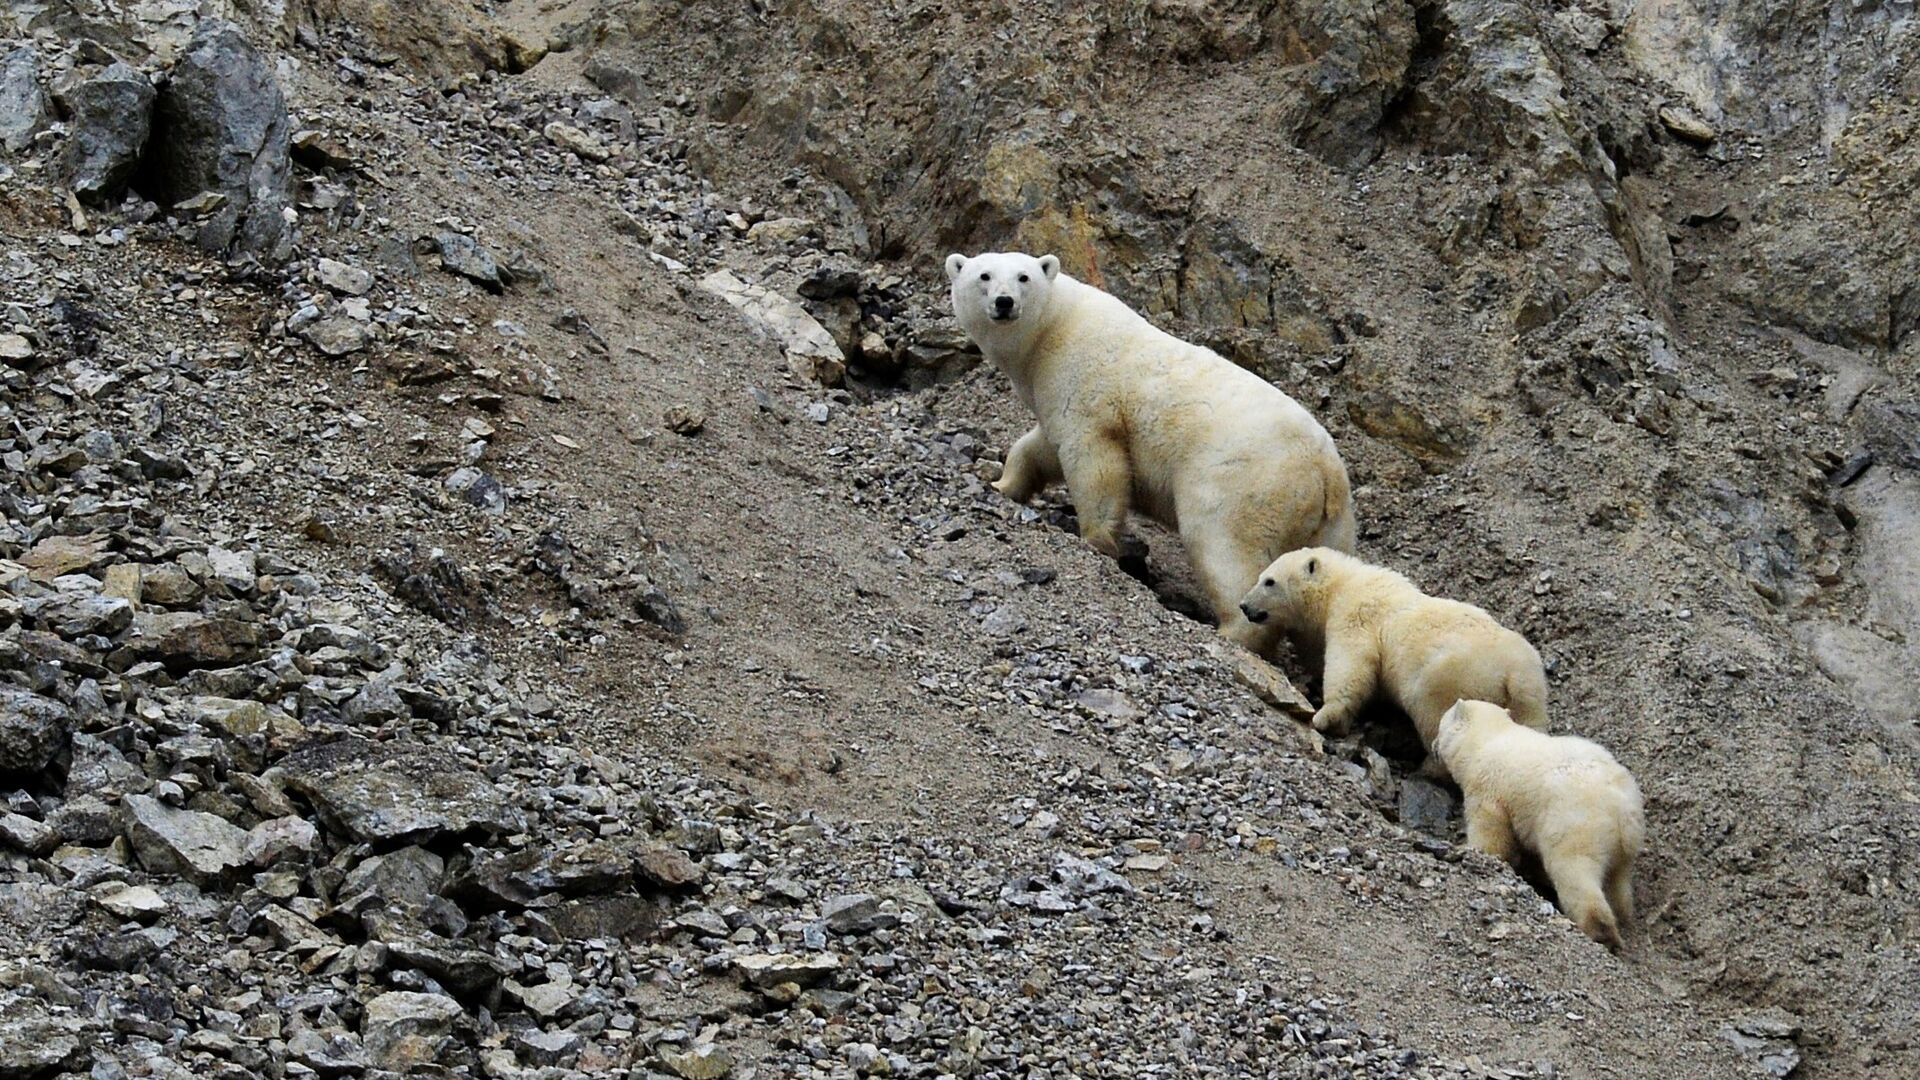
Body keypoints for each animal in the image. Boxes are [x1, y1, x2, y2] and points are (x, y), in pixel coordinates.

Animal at [944, 251, 1351, 645]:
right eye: (984, 275)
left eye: (1024, 276)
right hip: (1331, 524)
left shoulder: (1085, 381)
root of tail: (1324, 469)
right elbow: (1041, 447)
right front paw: (1002, 483)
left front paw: (1097, 539)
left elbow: (1095, 459)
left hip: (1244, 483)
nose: (1004, 302)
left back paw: (1232, 630)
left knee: (1224, 548)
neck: (1053, 329)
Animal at [1236, 541, 1551, 760]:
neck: (1343, 583)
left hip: (1450, 680)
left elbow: (1351, 664)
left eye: (1269, 581)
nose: (1244, 605)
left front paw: (1326, 717)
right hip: (1531, 702)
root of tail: (1514, 674)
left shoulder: (1357, 613)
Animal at [1436, 699, 1643, 941]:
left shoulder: (1488, 787)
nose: (1433, 744)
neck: (1489, 738)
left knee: (1575, 871)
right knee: (1617, 882)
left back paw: (1600, 932)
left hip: (1575, 822)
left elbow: (1490, 830)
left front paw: (1469, 849)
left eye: (1440, 724)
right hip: (1625, 846)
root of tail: (1622, 808)